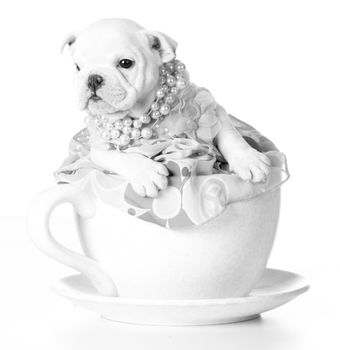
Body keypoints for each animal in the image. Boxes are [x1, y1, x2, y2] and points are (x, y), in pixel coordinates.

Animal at [62, 18, 270, 197]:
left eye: (125, 63)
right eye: (78, 67)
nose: (93, 78)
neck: (142, 113)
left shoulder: (210, 108)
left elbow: (229, 133)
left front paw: (249, 159)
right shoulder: (99, 148)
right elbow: (119, 158)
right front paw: (146, 173)